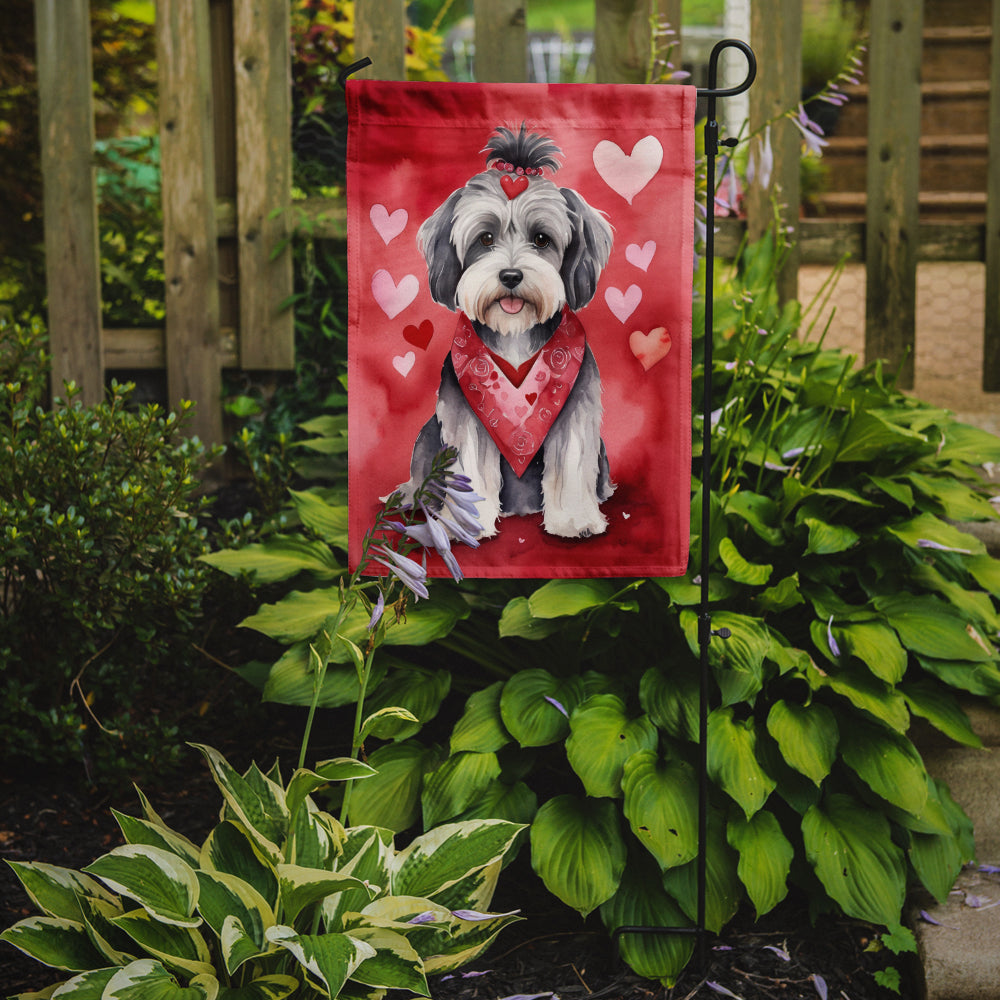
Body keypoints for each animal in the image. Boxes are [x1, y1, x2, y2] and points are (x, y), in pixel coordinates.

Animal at [402, 125, 612, 540]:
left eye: (542, 239)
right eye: (485, 239)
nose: (511, 275)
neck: (515, 333)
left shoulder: (575, 410)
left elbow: (571, 461)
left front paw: (575, 521)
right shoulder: (466, 416)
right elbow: (470, 466)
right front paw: (466, 525)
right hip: (427, 438)